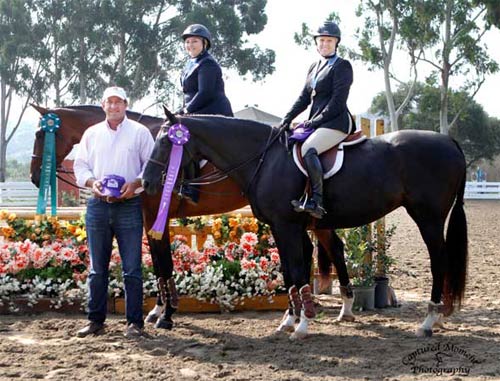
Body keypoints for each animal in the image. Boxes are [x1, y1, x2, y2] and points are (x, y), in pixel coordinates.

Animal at [28, 103, 249, 326]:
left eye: (39, 134)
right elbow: (157, 263)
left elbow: (164, 262)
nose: (34, 176)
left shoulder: (156, 216)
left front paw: (167, 315)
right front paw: (158, 310)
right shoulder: (146, 218)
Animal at [144, 108, 468, 336]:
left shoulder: (286, 226)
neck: (265, 158)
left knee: (439, 261)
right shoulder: (282, 227)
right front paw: (289, 320)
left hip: (428, 218)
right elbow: (290, 274)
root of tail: (449, 140)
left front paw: (300, 325)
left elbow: (298, 272)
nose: (146, 182)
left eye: (167, 143)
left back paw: (429, 321)